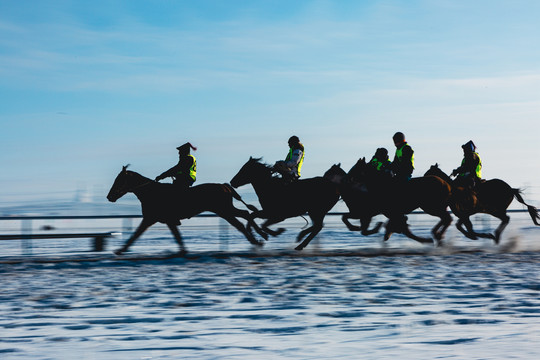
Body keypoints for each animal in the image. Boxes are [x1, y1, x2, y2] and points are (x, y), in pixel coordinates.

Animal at [106, 165, 266, 255]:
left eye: (119, 180)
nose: (109, 196)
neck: (151, 192)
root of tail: (224, 186)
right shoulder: (162, 221)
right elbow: (176, 237)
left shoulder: (150, 219)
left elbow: (135, 235)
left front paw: (120, 250)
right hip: (226, 210)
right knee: (245, 215)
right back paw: (259, 237)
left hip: (224, 211)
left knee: (241, 220)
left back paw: (257, 240)